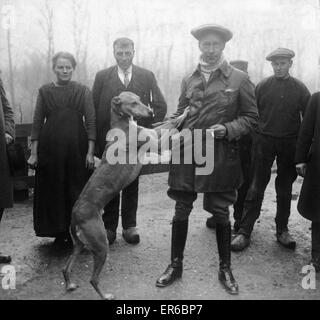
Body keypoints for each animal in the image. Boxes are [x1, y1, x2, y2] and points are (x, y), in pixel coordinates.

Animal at [62, 90, 189, 300]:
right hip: (101, 246)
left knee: (65, 268)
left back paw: (70, 284)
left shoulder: (153, 132)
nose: (150, 112)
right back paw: (106, 296)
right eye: (133, 103)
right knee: (93, 280)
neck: (122, 124)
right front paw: (186, 112)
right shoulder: (157, 143)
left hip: (80, 245)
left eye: (140, 99)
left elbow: (165, 124)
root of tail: (75, 215)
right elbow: (172, 124)